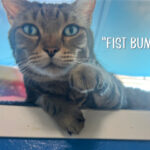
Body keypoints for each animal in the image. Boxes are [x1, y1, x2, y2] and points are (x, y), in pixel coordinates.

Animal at [2, 0, 150, 135]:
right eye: (30, 29)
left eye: (71, 30)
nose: (51, 49)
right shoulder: (31, 97)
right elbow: (46, 96)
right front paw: (68, 114)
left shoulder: (118, 98)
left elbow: (106, 79)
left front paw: (85, 71)